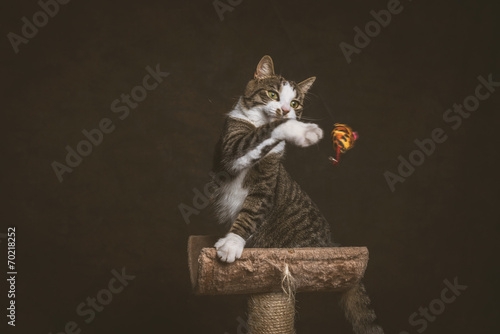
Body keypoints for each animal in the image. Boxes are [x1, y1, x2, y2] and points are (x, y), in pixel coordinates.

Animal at [209, 55, 384, 334]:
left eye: (294, 103)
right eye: (272, 94)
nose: (285, 111)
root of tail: (328, 246)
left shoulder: (267, 182)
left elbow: (254, 207)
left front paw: (232, 243)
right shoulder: (230, 151)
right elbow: (256, 138)